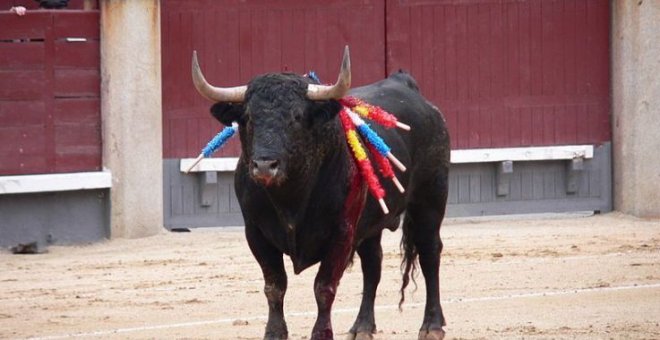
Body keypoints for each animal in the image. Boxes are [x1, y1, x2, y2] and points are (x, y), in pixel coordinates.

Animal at [191, 47, 448, 340]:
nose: (265, 165)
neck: (290, 197)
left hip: (431, 199)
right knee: (373, 264)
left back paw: (432, 325)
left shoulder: (342, 233)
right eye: (248, 119)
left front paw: (321, 333)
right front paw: (274, 333)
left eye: (296, 117)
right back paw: (362, 327)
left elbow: (324, 288)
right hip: (371, 224)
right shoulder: (255, 233)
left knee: (430, 253)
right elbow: (274, 286)